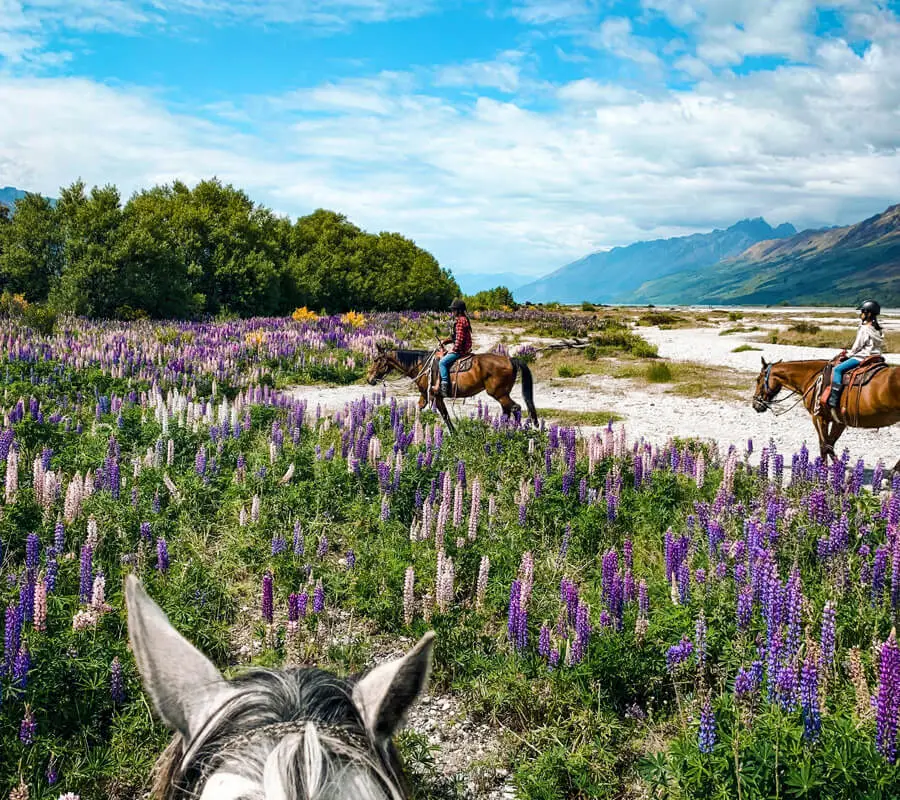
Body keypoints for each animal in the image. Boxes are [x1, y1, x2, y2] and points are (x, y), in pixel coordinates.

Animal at [366, 347, 538, 432]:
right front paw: (409, 427)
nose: (369, 379)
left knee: (516, 408)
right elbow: (419, 409)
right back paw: (501, 431)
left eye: (376, 360)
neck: (422, 366)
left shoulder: (435, 396)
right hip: (502, 394)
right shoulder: (426, 396)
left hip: (499, 393)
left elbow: (445, 415)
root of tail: (510, 359)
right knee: (507, 411)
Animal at [752, 356, 900, 470]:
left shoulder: (818, 417)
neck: (813, 378)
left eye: (758, 379)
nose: (755, 404)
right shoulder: (838, 421)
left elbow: (824, 446)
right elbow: (829, 445)